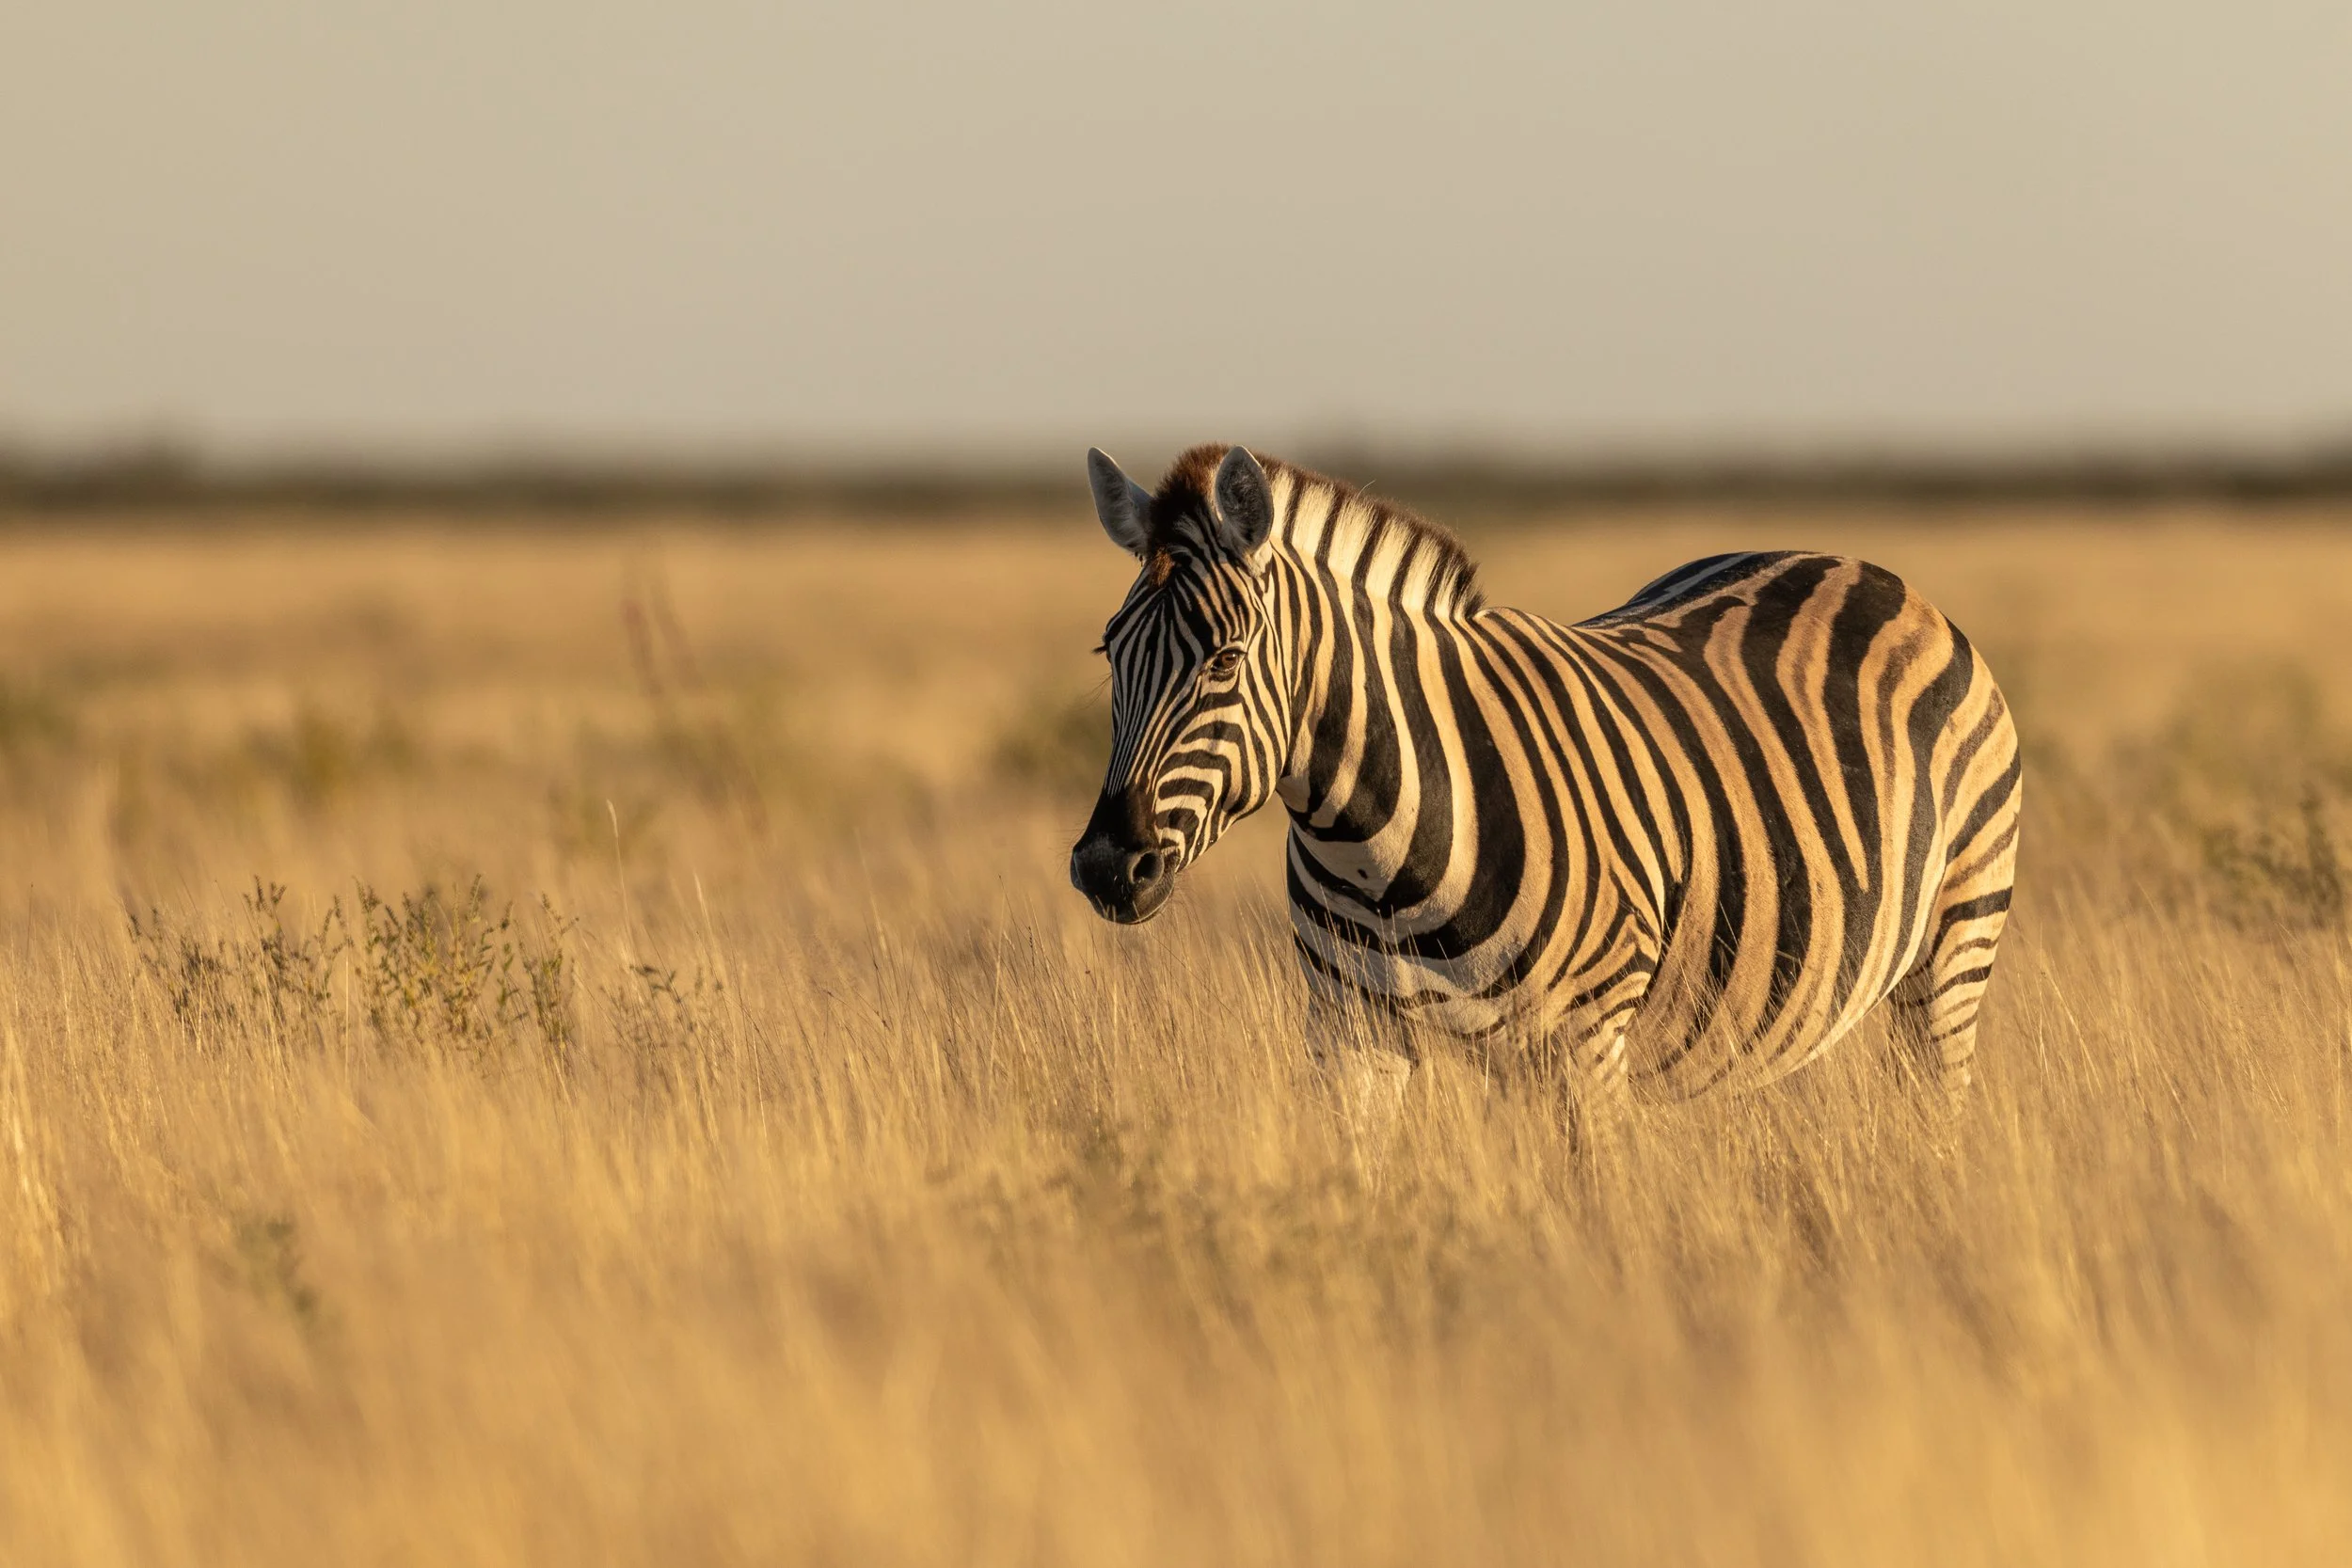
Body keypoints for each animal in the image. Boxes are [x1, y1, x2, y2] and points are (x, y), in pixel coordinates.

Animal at [1068, 443, 2022, 1142]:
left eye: (1226, 661)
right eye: (1109, 652)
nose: (1108, 866)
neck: (1377, 841)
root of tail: (1868, 570)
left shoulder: (1585, 1044)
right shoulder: (1349, 1034)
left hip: (1952, 950)